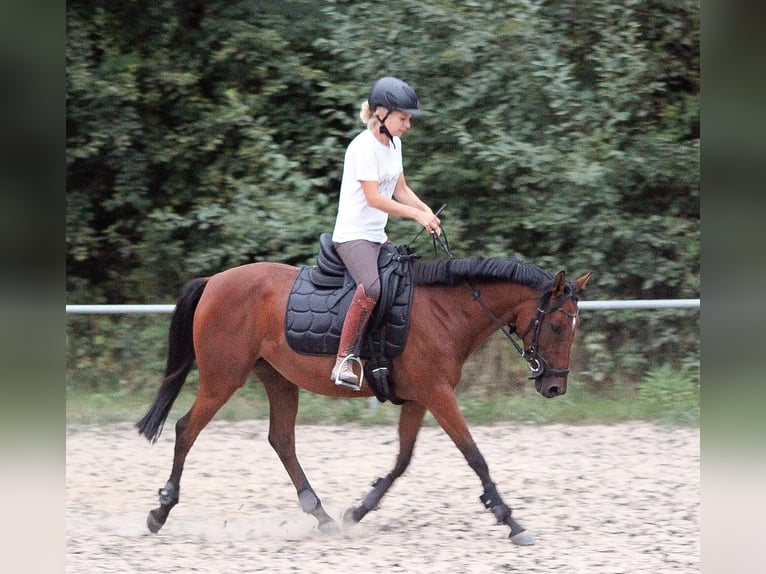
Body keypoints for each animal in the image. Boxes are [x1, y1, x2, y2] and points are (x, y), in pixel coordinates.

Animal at [136, 246, 592, 544]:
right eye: (556, 326)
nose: (555, 386)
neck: (445, 311)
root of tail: (214, 281)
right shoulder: (437, 393)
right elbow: (474, 455)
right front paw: (510, 520)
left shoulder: (419, 398)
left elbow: (402, 460)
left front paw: (357, 510)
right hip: (223, 378)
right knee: (185, 429)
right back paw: (160, 510)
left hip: (278, 379)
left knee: (281, 440)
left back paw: (321, 516)